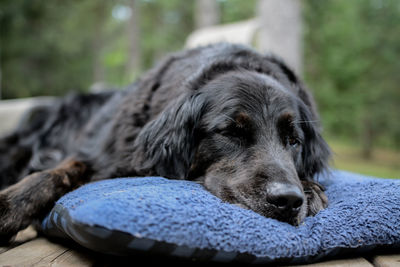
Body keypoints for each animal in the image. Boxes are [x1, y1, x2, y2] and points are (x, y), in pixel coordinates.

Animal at [0, 43, 332, 243]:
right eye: (231, 132)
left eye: (293, 141)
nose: (287, 200)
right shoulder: (102, 154)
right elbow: (57, 172)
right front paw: (9, 206)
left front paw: (310, 190)